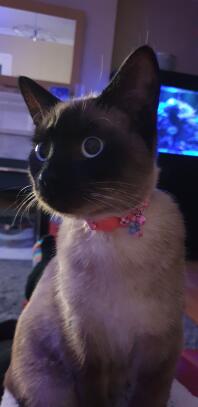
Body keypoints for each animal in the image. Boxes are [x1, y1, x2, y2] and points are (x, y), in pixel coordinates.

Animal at [1, 46, 185, 406]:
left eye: (92, 147)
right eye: (42, 151)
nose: (45, 180)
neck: (113, 228)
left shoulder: (158, 355)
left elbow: (148, 398)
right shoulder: (91, 355)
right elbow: (97, 398)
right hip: (53, 389)